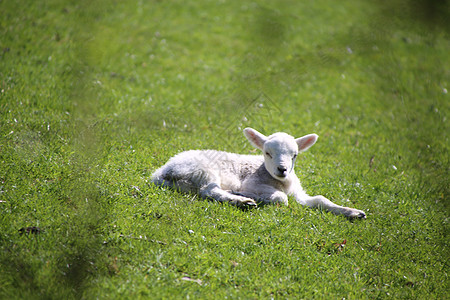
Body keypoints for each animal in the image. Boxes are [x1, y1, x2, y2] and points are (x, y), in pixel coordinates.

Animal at [151, 126, 366, 218]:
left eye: (295, 155)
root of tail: (162, 171)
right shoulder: (251, 182)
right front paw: (255, 197)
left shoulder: (299, 194)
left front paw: (353, 212)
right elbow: (281, 198)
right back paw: (242, 200)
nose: (282, 169)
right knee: (209, 191)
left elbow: (320, 200)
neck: (282, 183)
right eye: (267, 153)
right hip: (203, 169)